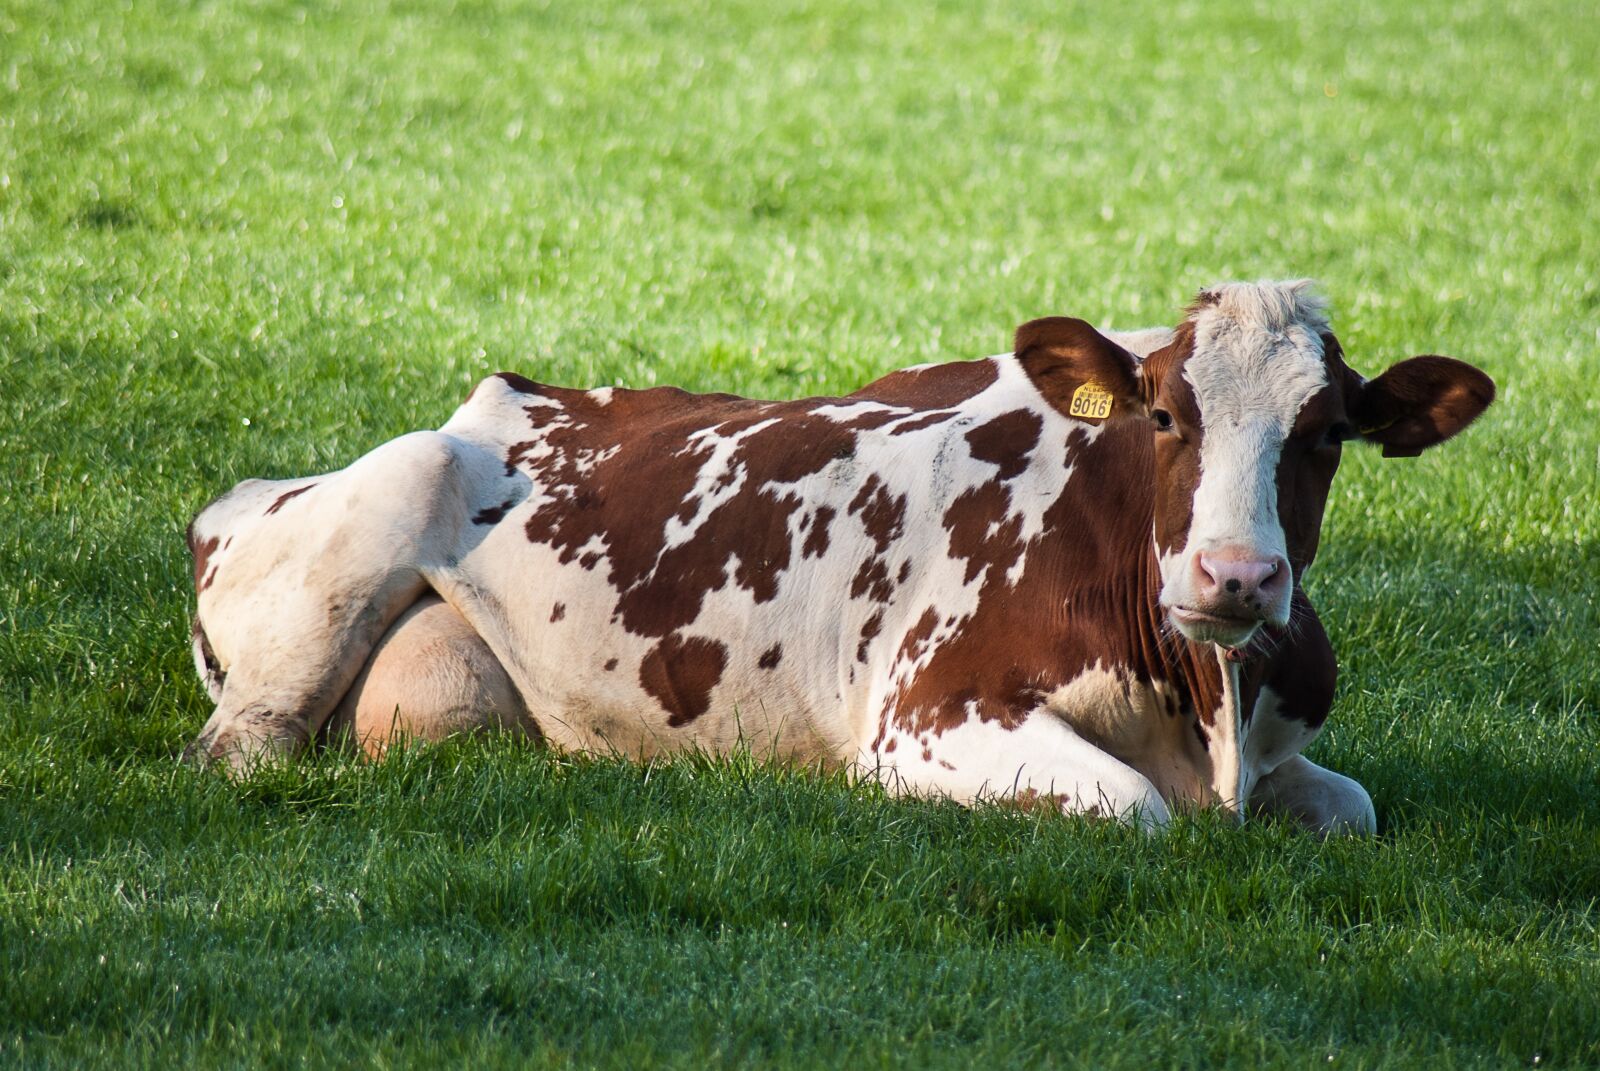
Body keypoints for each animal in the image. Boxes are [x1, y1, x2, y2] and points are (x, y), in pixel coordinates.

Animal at [184, 280, 1494, 833]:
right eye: (1166, 416)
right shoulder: (925, 716)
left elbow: (1353, 807)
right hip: (374, 524)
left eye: (1322, 434)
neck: (1204, 704)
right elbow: (1133, 810)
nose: (1236, 579)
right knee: (240, 753)